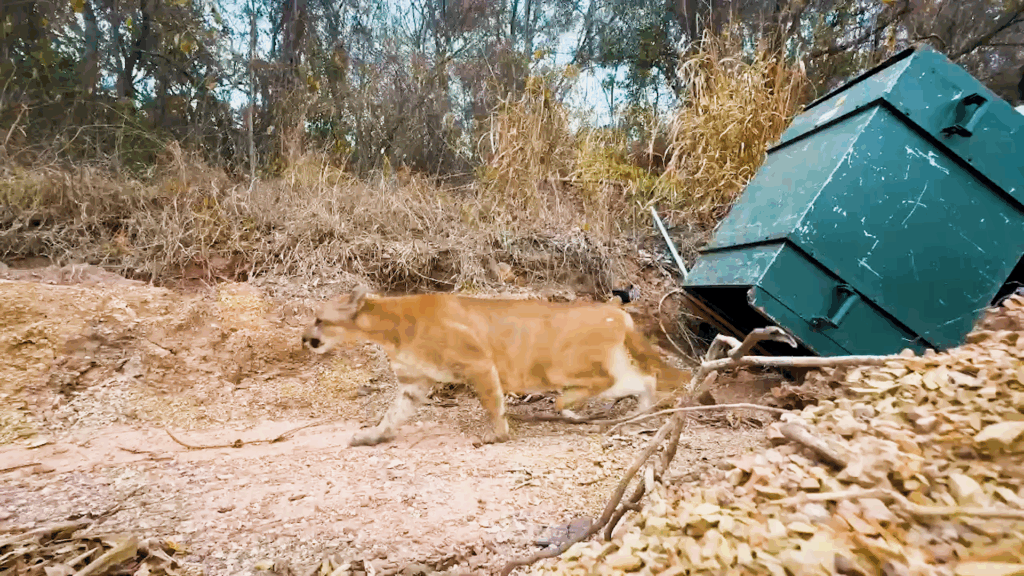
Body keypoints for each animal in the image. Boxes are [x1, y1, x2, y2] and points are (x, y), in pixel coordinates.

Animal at [301, 286, 692, 446]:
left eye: (319, 319)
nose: (304, 338)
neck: (391, 327)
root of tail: (617, 312)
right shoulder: (414, 384)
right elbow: (391, 415)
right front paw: (372, 436)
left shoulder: (478, 363)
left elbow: (492, 403)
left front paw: (498, 435)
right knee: (642, 380)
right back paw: (635, 414)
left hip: (566, 366)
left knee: (624, 380)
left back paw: (580, 407)